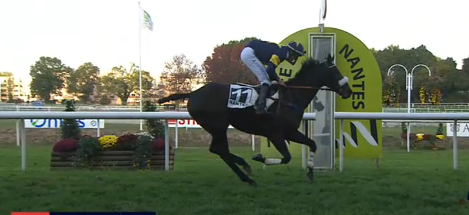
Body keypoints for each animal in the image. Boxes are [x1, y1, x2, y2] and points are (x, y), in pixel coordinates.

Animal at [157, 54, 352, 186]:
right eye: (335, 72)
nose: (348, 91)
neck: (291, 97)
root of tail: (193, 93)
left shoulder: (291, 132)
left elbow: (312, 144)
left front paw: (311, 171)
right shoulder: (275, 134)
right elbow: (287, 157)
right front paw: (260, 157)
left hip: (217, 127)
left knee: (218, 150)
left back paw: (244, 168)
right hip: (218, 126)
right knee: (221, 150)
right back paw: (247, 176)